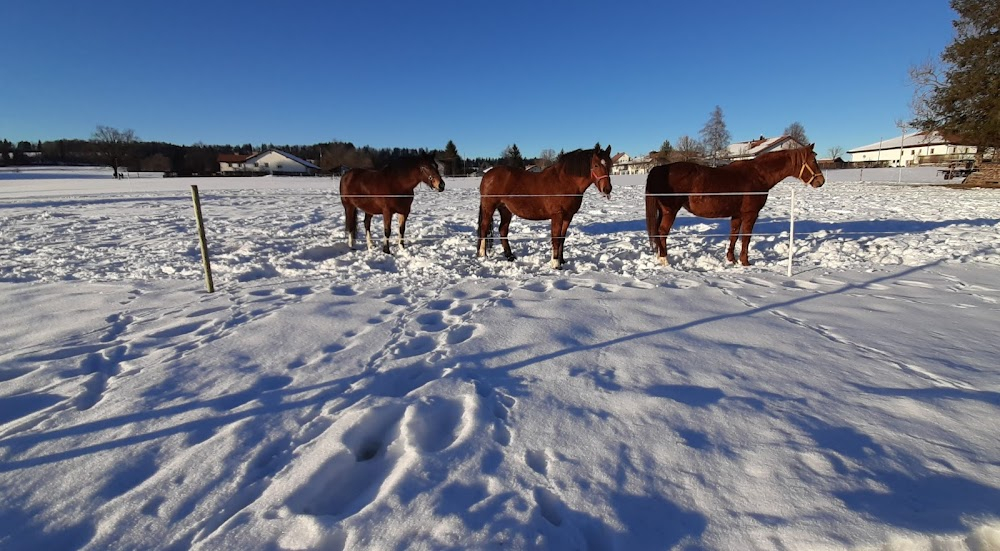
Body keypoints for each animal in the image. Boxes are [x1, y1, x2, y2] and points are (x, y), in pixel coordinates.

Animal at [474, 144, 608, 270]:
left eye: (609, 164)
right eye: (596, 165)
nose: (607, 189)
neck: (565, 182)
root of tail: (487, 175)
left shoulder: (568, 216)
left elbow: (562, 238)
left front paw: (562, 260)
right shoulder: (557, 215)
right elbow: (556, 238)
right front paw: (555, 264)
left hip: (505, 209)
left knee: (502, 229)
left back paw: (510, 256)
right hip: (489, 207)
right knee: (484, 228)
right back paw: (482, 255)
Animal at [644, 144, 824, 268]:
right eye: (813, 160)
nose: (821, 181)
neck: (758, 175)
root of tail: (660, 169)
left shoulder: (737, 215)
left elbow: (734, 235)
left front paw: (732, 259)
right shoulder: (751, 214)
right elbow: (746, 238)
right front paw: (745, 262)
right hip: (670, 211)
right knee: (662, 232)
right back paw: (664, 259)